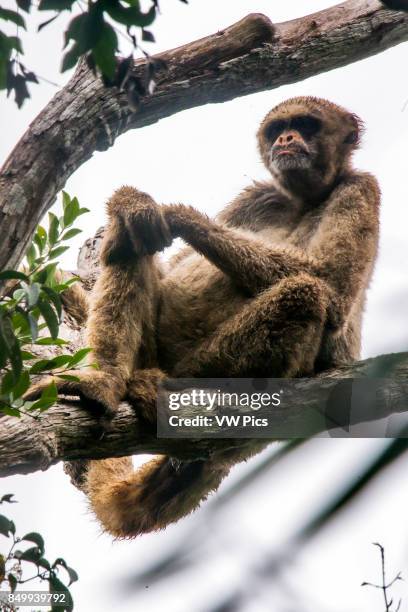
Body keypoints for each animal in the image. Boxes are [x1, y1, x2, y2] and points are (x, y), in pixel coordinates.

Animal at [27, 95, 380, 536]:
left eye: (305, 125)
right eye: (278, 129)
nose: (286, 139)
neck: (303, 200)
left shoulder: (361, 187)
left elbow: (332, 290)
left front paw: (177, 214)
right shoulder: (259, 193)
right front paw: (131, 202)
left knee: (306, 294)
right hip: (149, 350)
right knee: (129, 241)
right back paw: (104, 383)